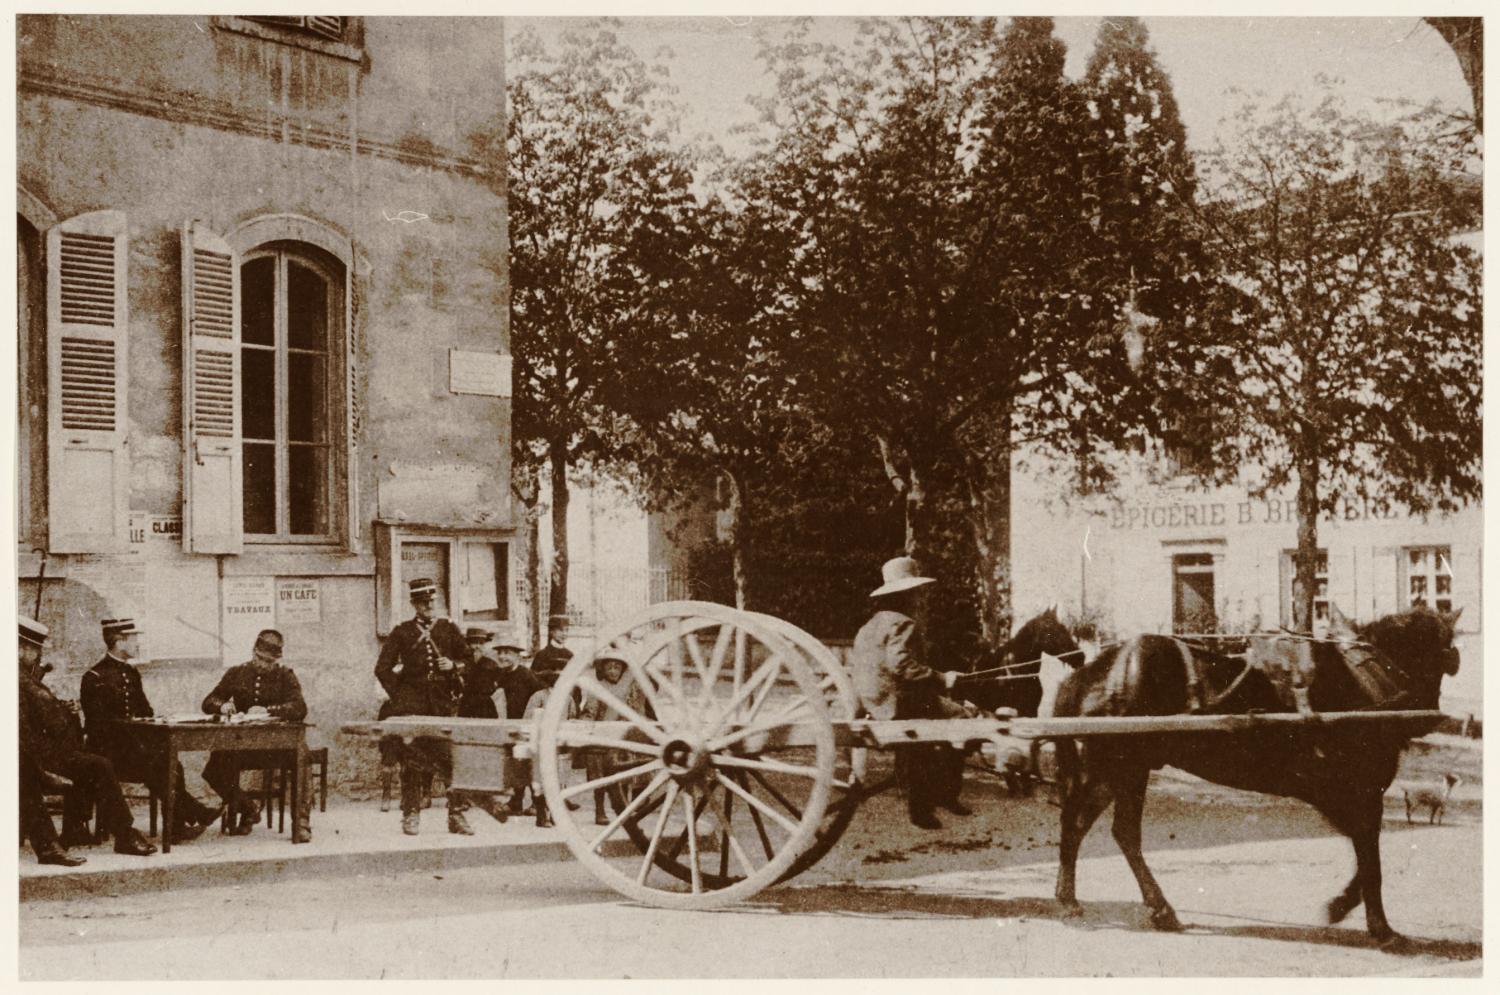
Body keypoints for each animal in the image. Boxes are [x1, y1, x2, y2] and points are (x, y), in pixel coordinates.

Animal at [1050, 606, 1458, 948]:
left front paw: (1343, 906)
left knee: (1092, 826)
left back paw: (1100, 902)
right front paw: (1379, 927)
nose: (1428, 714)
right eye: (1445, 655)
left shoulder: (1341, 796)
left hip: (1119, 769)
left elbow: (1365, 856)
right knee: (1098, 826)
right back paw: (1104, 903)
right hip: (1121, 764)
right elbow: (1371, 861)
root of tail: (1092, 673)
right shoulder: (1356, 792)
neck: (1364, 684)